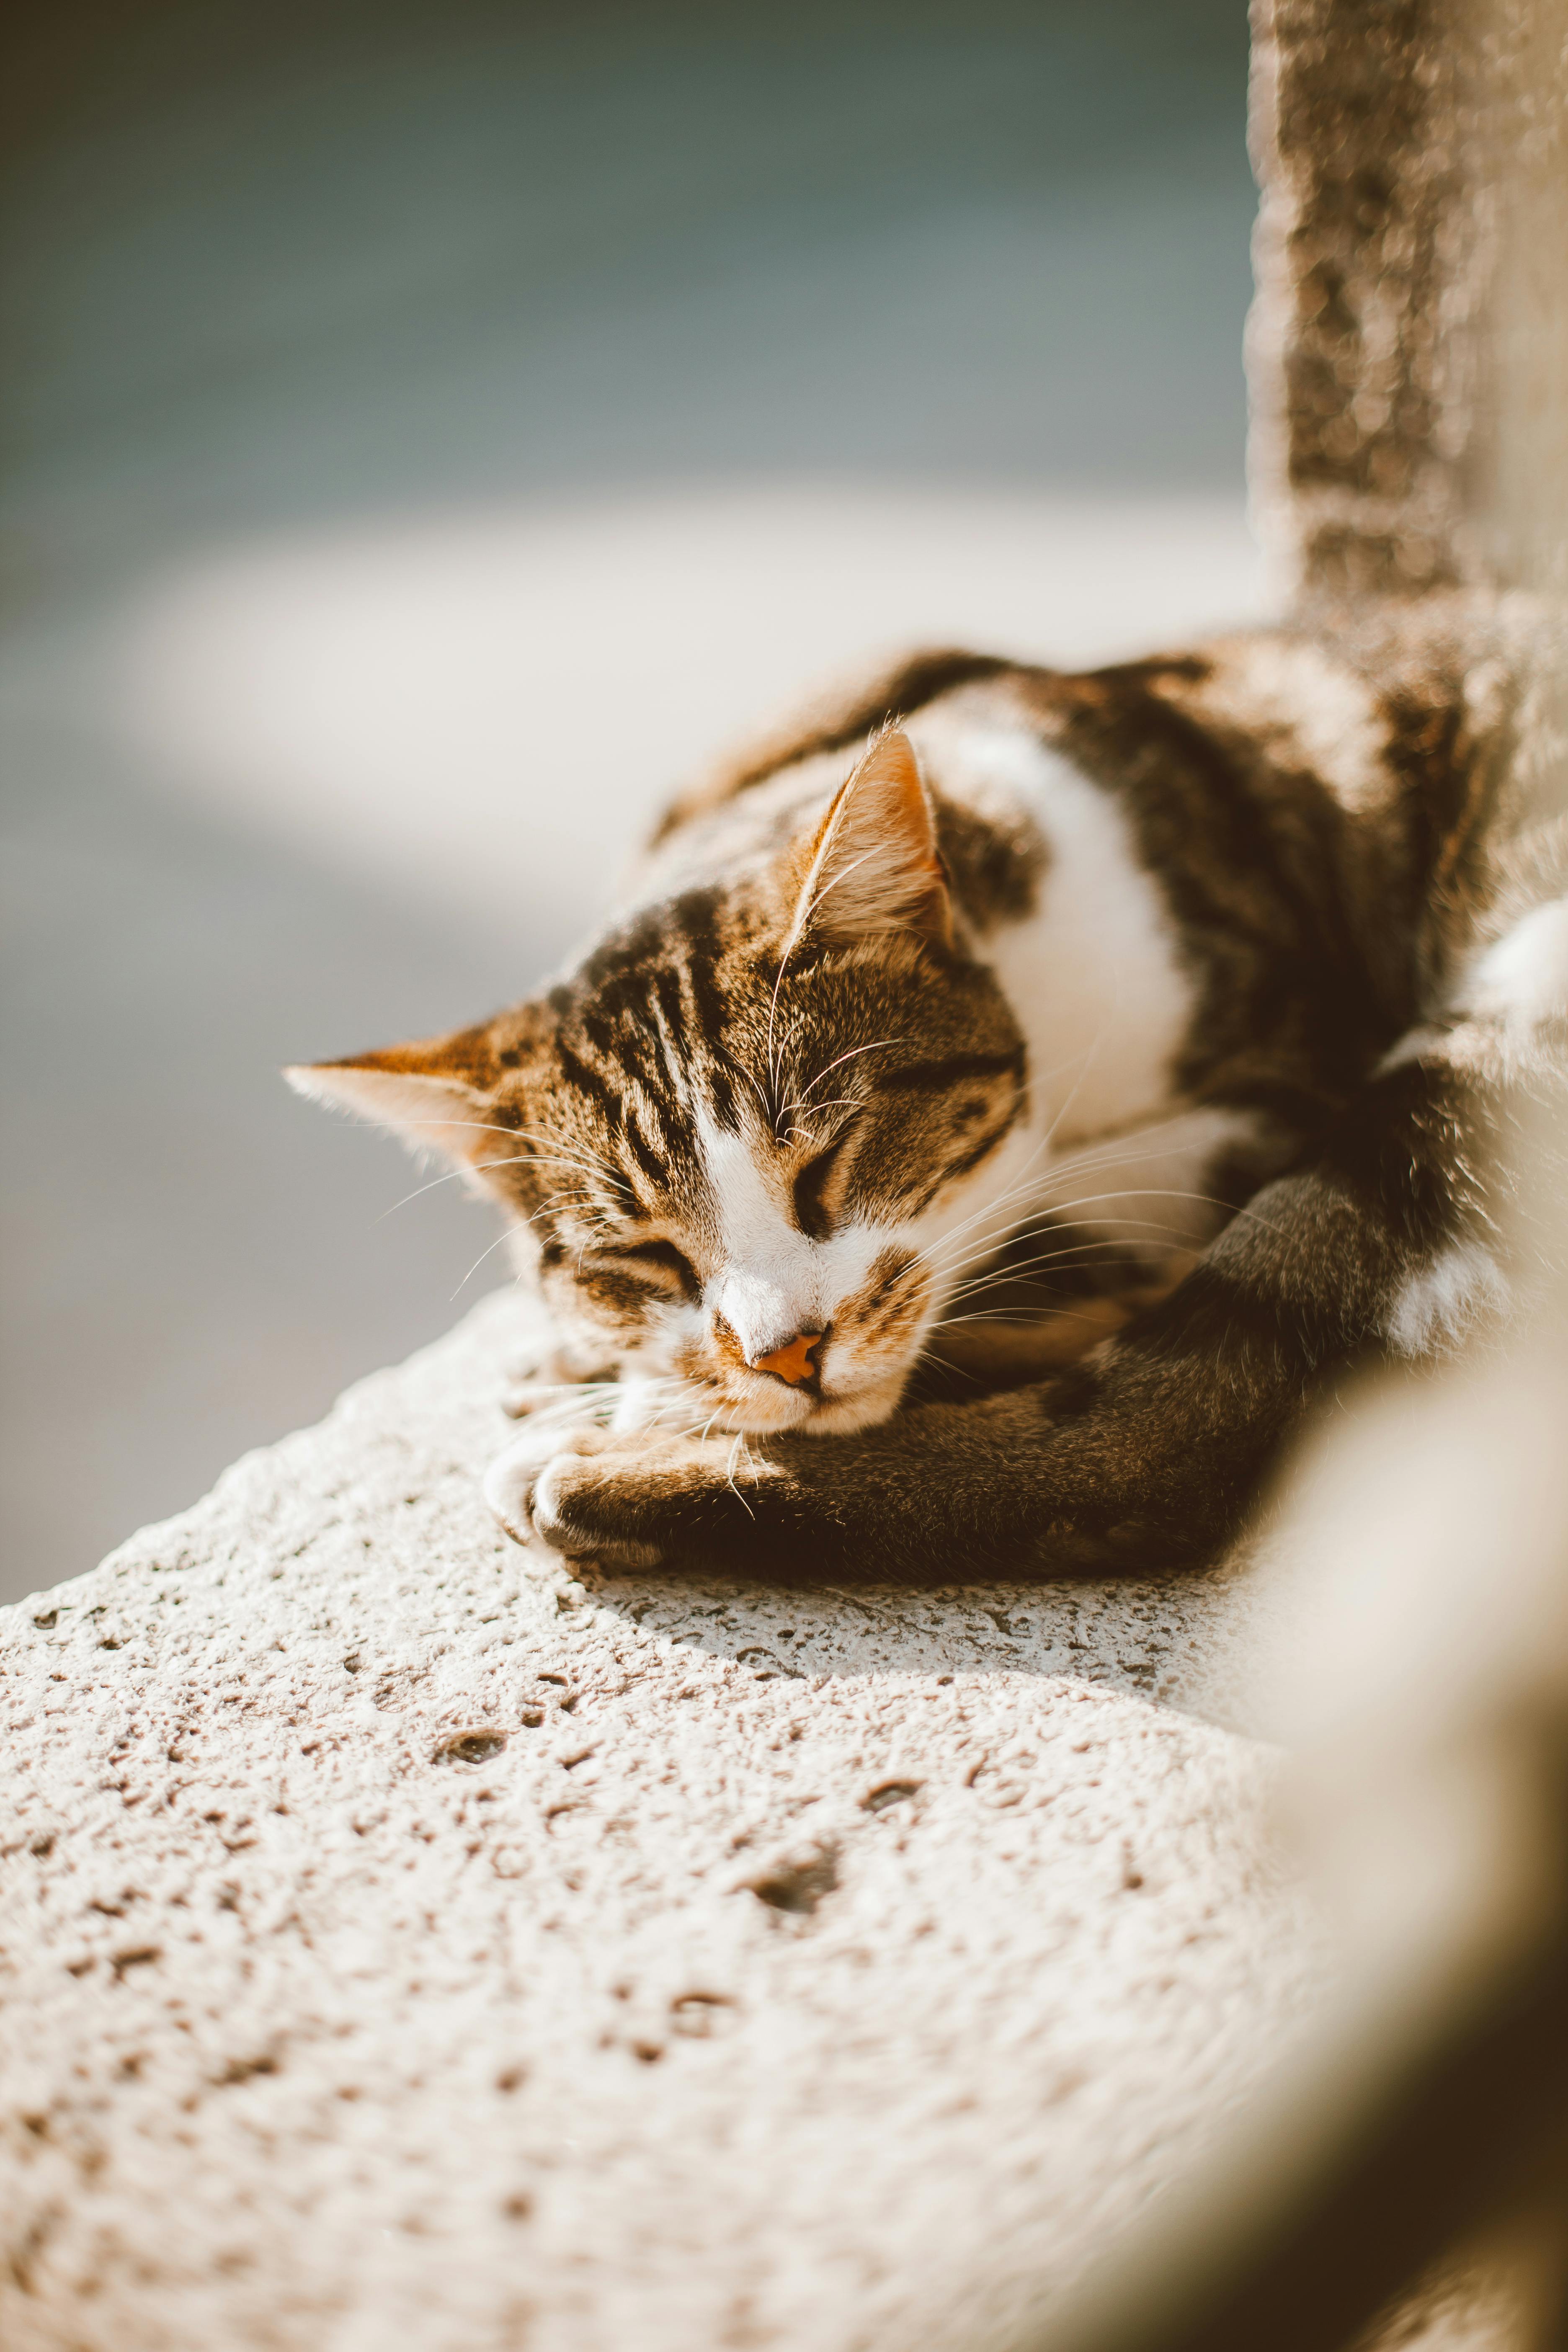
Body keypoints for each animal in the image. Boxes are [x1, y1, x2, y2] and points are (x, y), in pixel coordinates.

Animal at [288, 597, 1561, 1571]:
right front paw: (606, 1353)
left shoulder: (1291, 1066)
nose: (784, 1358)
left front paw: (654, 1400)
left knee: (1156, 1441)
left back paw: (611, 1470)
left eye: (829, 1167)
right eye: (643, 1255)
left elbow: (1036, 1206)